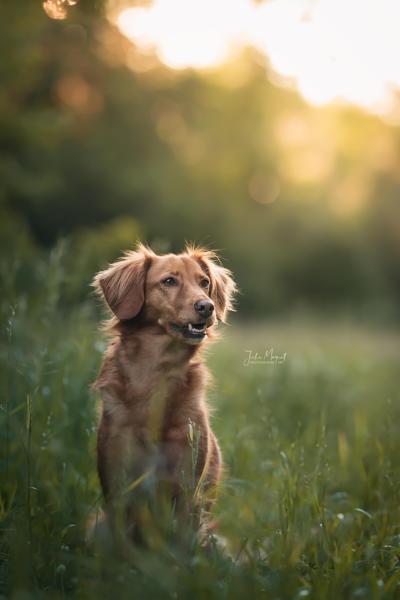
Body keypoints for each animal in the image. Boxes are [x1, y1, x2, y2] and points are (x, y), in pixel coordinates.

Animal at [92, 244, 236, 548]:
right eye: (169, 281)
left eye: (204, 282)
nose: (207, 306)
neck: (156, 373)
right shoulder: (117, 486)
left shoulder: (186, 487)